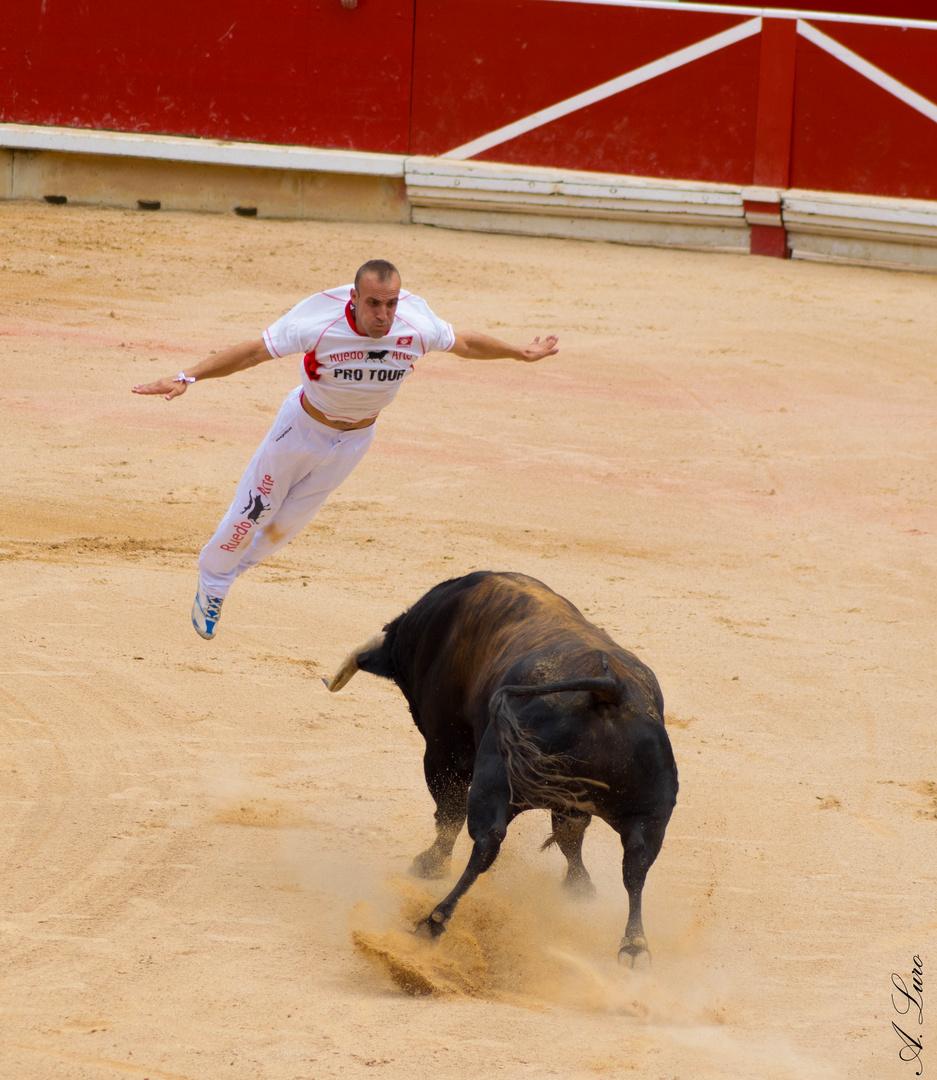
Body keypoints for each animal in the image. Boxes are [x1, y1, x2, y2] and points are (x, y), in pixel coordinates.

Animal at [326, 570, 677, 967]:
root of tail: (609, 690)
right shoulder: (573, 801)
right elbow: (570, 837)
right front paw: (580, 887)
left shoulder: (445, 751)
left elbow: (448, 812)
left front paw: (431, 864)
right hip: (649, 812)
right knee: (634, 864)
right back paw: (632, 943)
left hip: (493, 780)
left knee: (485, 844)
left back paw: (434, 919)